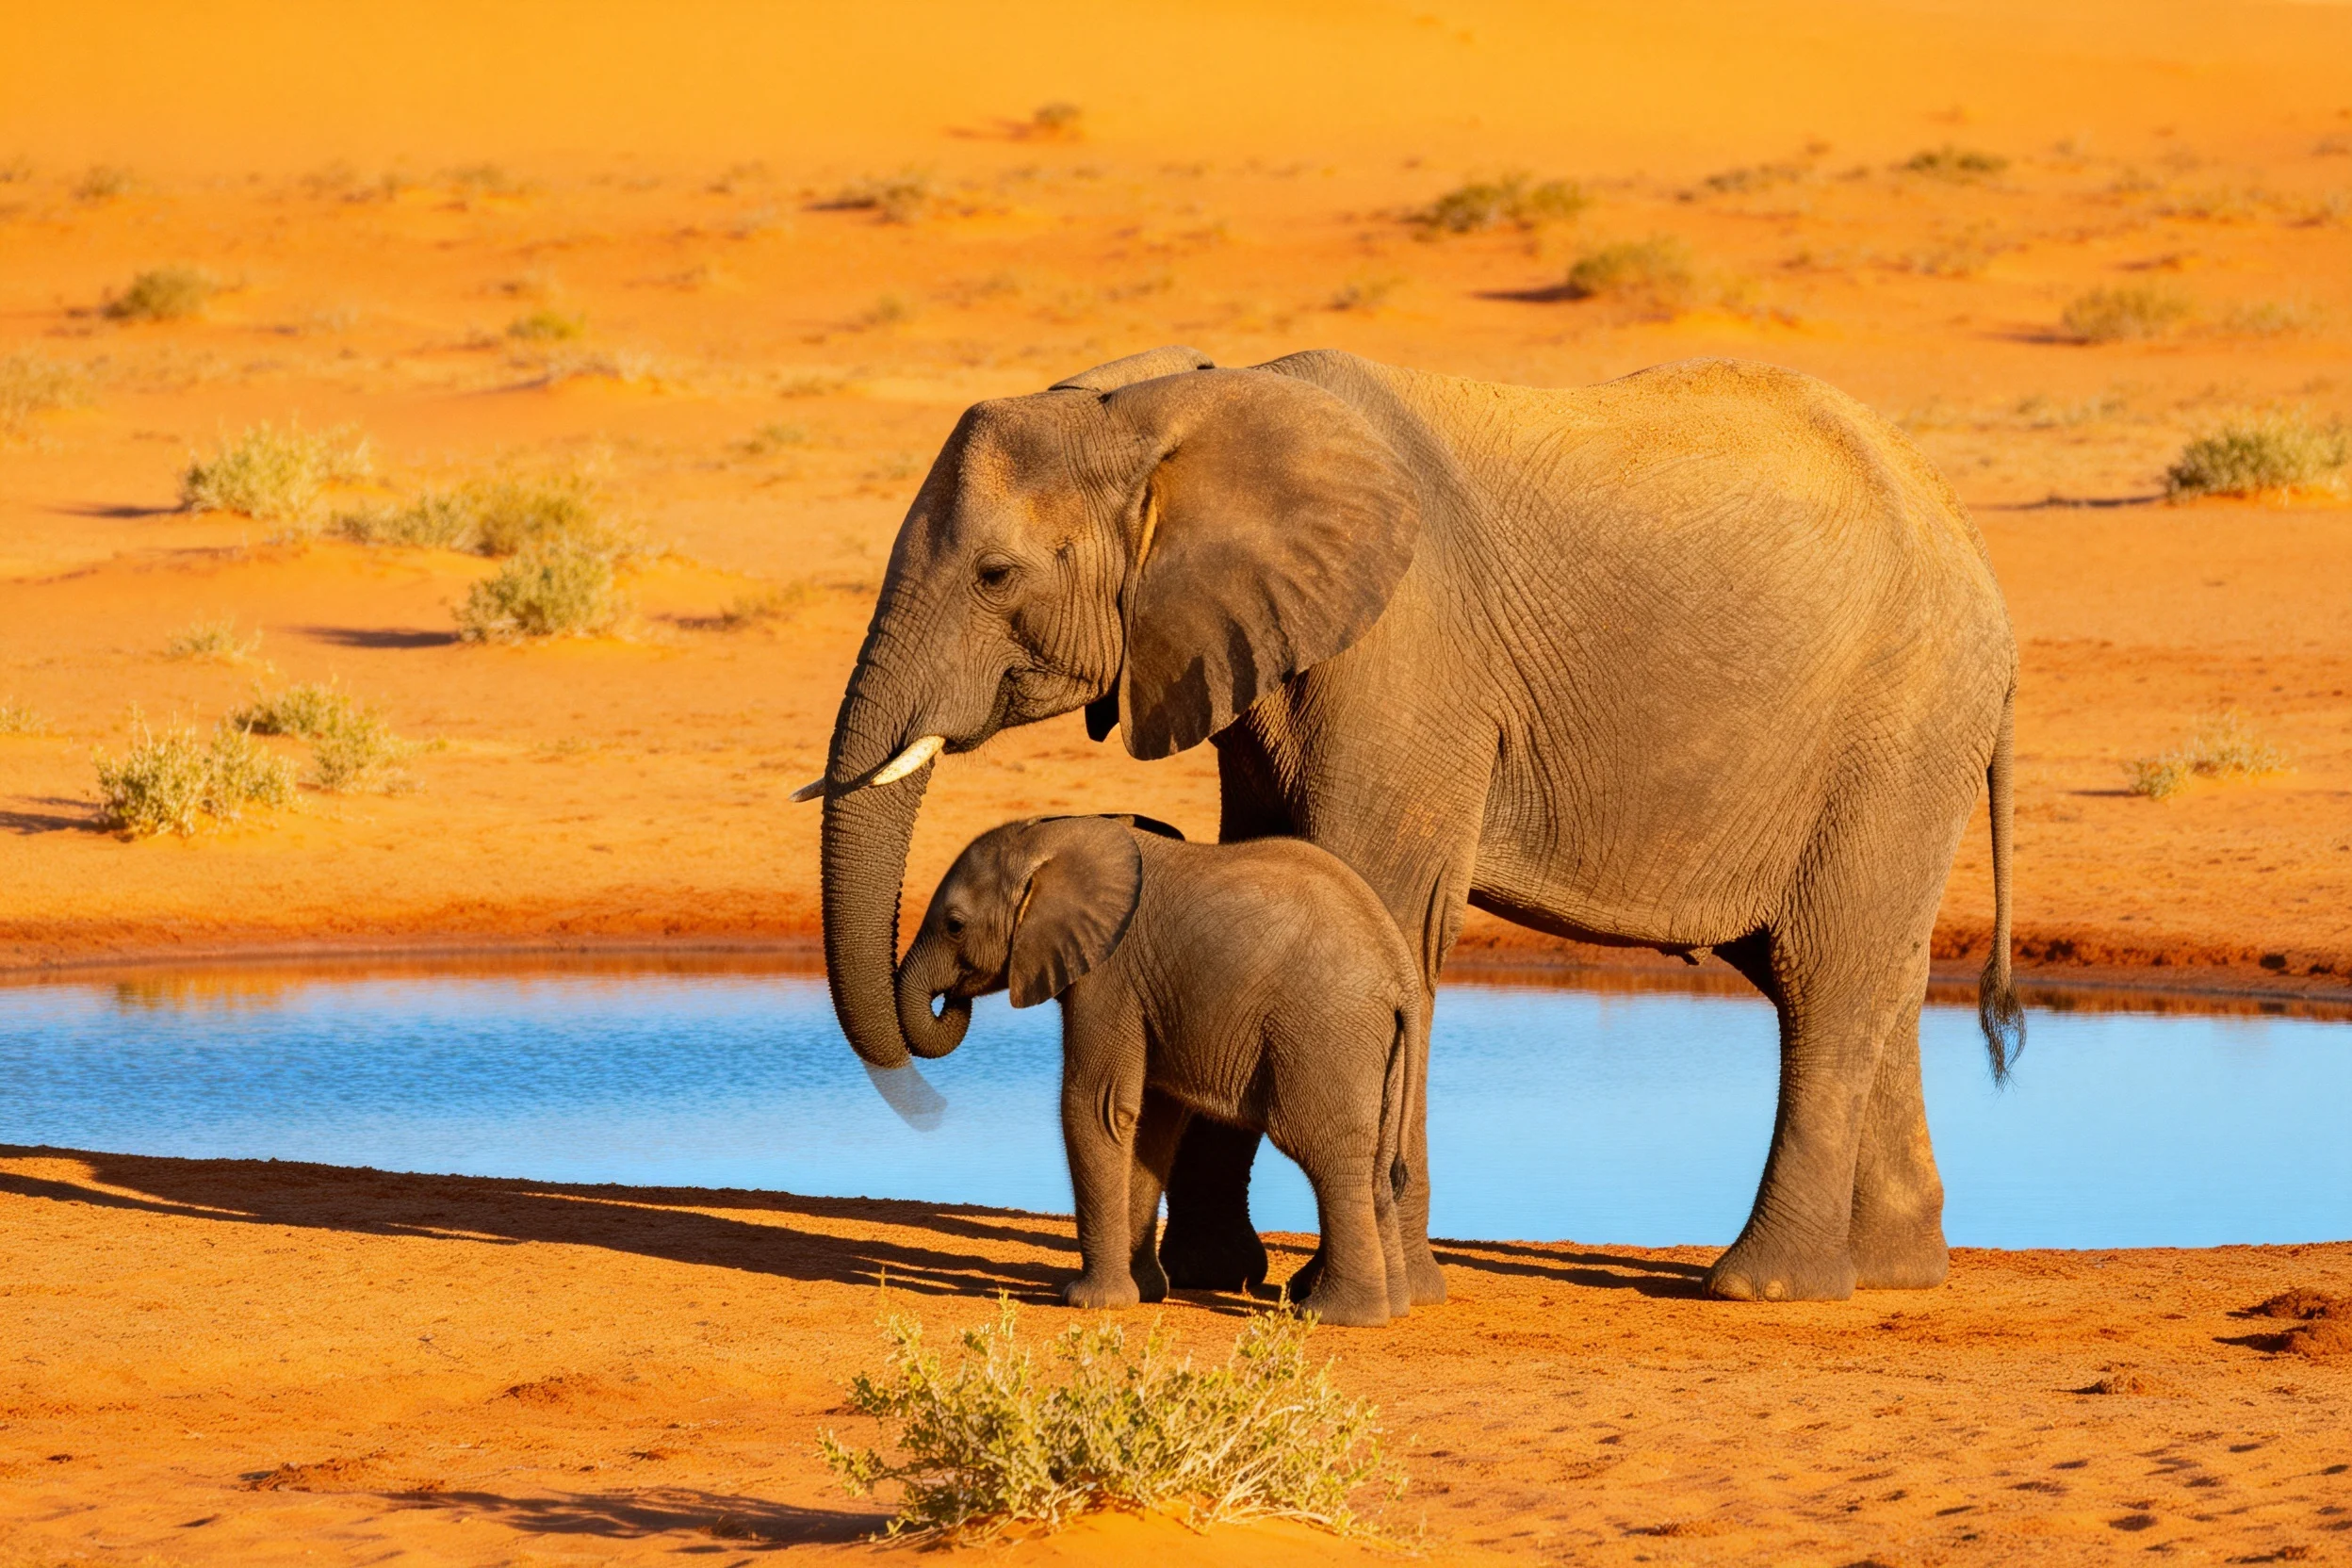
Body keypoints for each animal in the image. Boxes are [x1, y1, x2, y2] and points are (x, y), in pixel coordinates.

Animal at [896, 814, 1422, 1327]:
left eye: (955, 926)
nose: (953, 996)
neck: (1053, 834)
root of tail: (1403, 976)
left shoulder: (1109, 974)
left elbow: (1099, 1107)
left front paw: (1090, 1302)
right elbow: (1150, 1125)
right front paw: (1144, 1293)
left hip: (1323, 1035)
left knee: (1327, 1155)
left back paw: (1333, 1315)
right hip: (1374, 1049)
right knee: (1376, 1168)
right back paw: (1393, 1306)